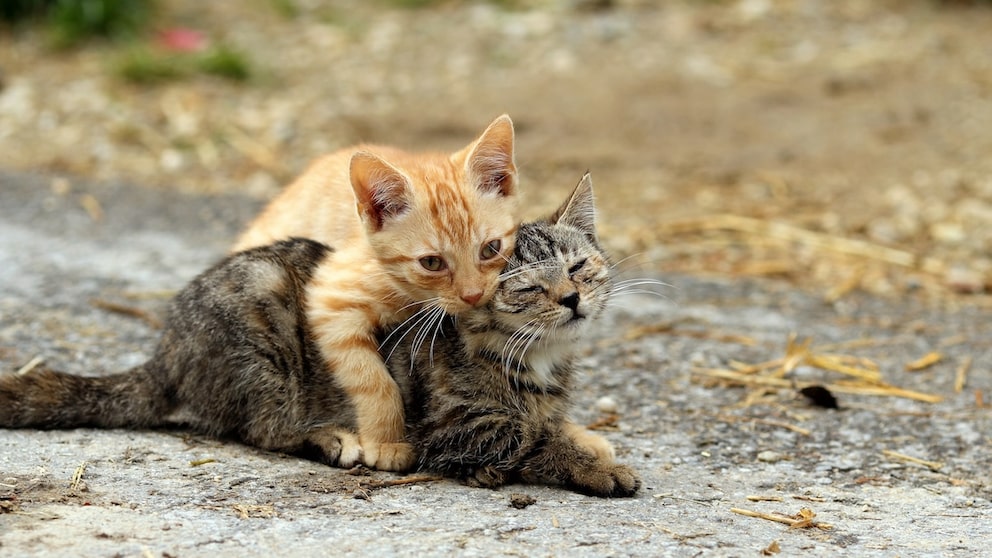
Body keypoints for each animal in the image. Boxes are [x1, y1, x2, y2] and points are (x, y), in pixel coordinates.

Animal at [0, 175, 640, 498]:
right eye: (527, 288)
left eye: (579, 268)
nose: (572, 298)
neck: (536, 360)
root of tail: (168, 347)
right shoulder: (453, 427)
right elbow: (527, 437)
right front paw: (592, 466)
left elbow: (549, 423)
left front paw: (587, 438)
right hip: (263, 333)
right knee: (261, 428)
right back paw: (331, 439)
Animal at [232, 115, 520, 472]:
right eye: (432, 263)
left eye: (491, 248)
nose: (473, 294)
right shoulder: (329, 299)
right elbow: (373, 380)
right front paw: (385, 442)